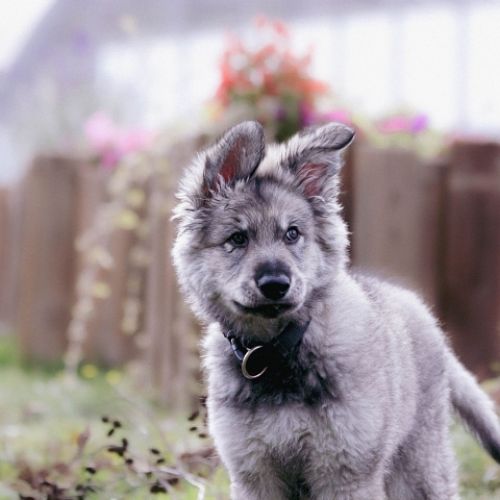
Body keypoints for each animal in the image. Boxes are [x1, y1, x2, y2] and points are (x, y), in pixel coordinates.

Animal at [172, 121, 500, 499]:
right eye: (237, 238)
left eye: (293, 234)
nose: (276, 284)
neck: (278, 352)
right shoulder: (254, 474)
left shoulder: (346, 473)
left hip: (418, 468)